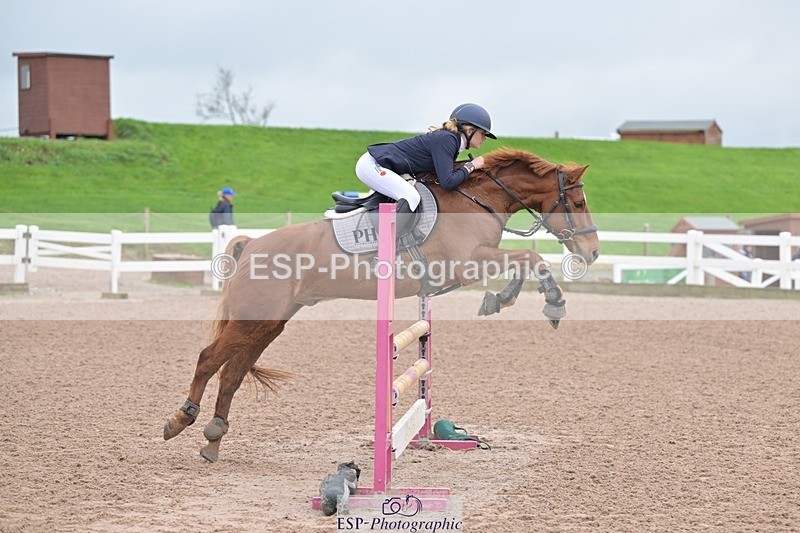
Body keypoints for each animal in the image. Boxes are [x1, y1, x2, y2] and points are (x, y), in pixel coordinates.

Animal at [163, 148, 600, 462]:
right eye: (578, 203)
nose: (592, 252)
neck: (479, 199)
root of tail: (251, 243)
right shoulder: (469, 261)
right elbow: (530, 257)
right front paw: (551, 303)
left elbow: (525, 260)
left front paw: (504, 299)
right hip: (252, 320)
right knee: (209, 359)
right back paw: (180, 419)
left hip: (269, 323)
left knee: (233, 373)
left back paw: (213, 440)